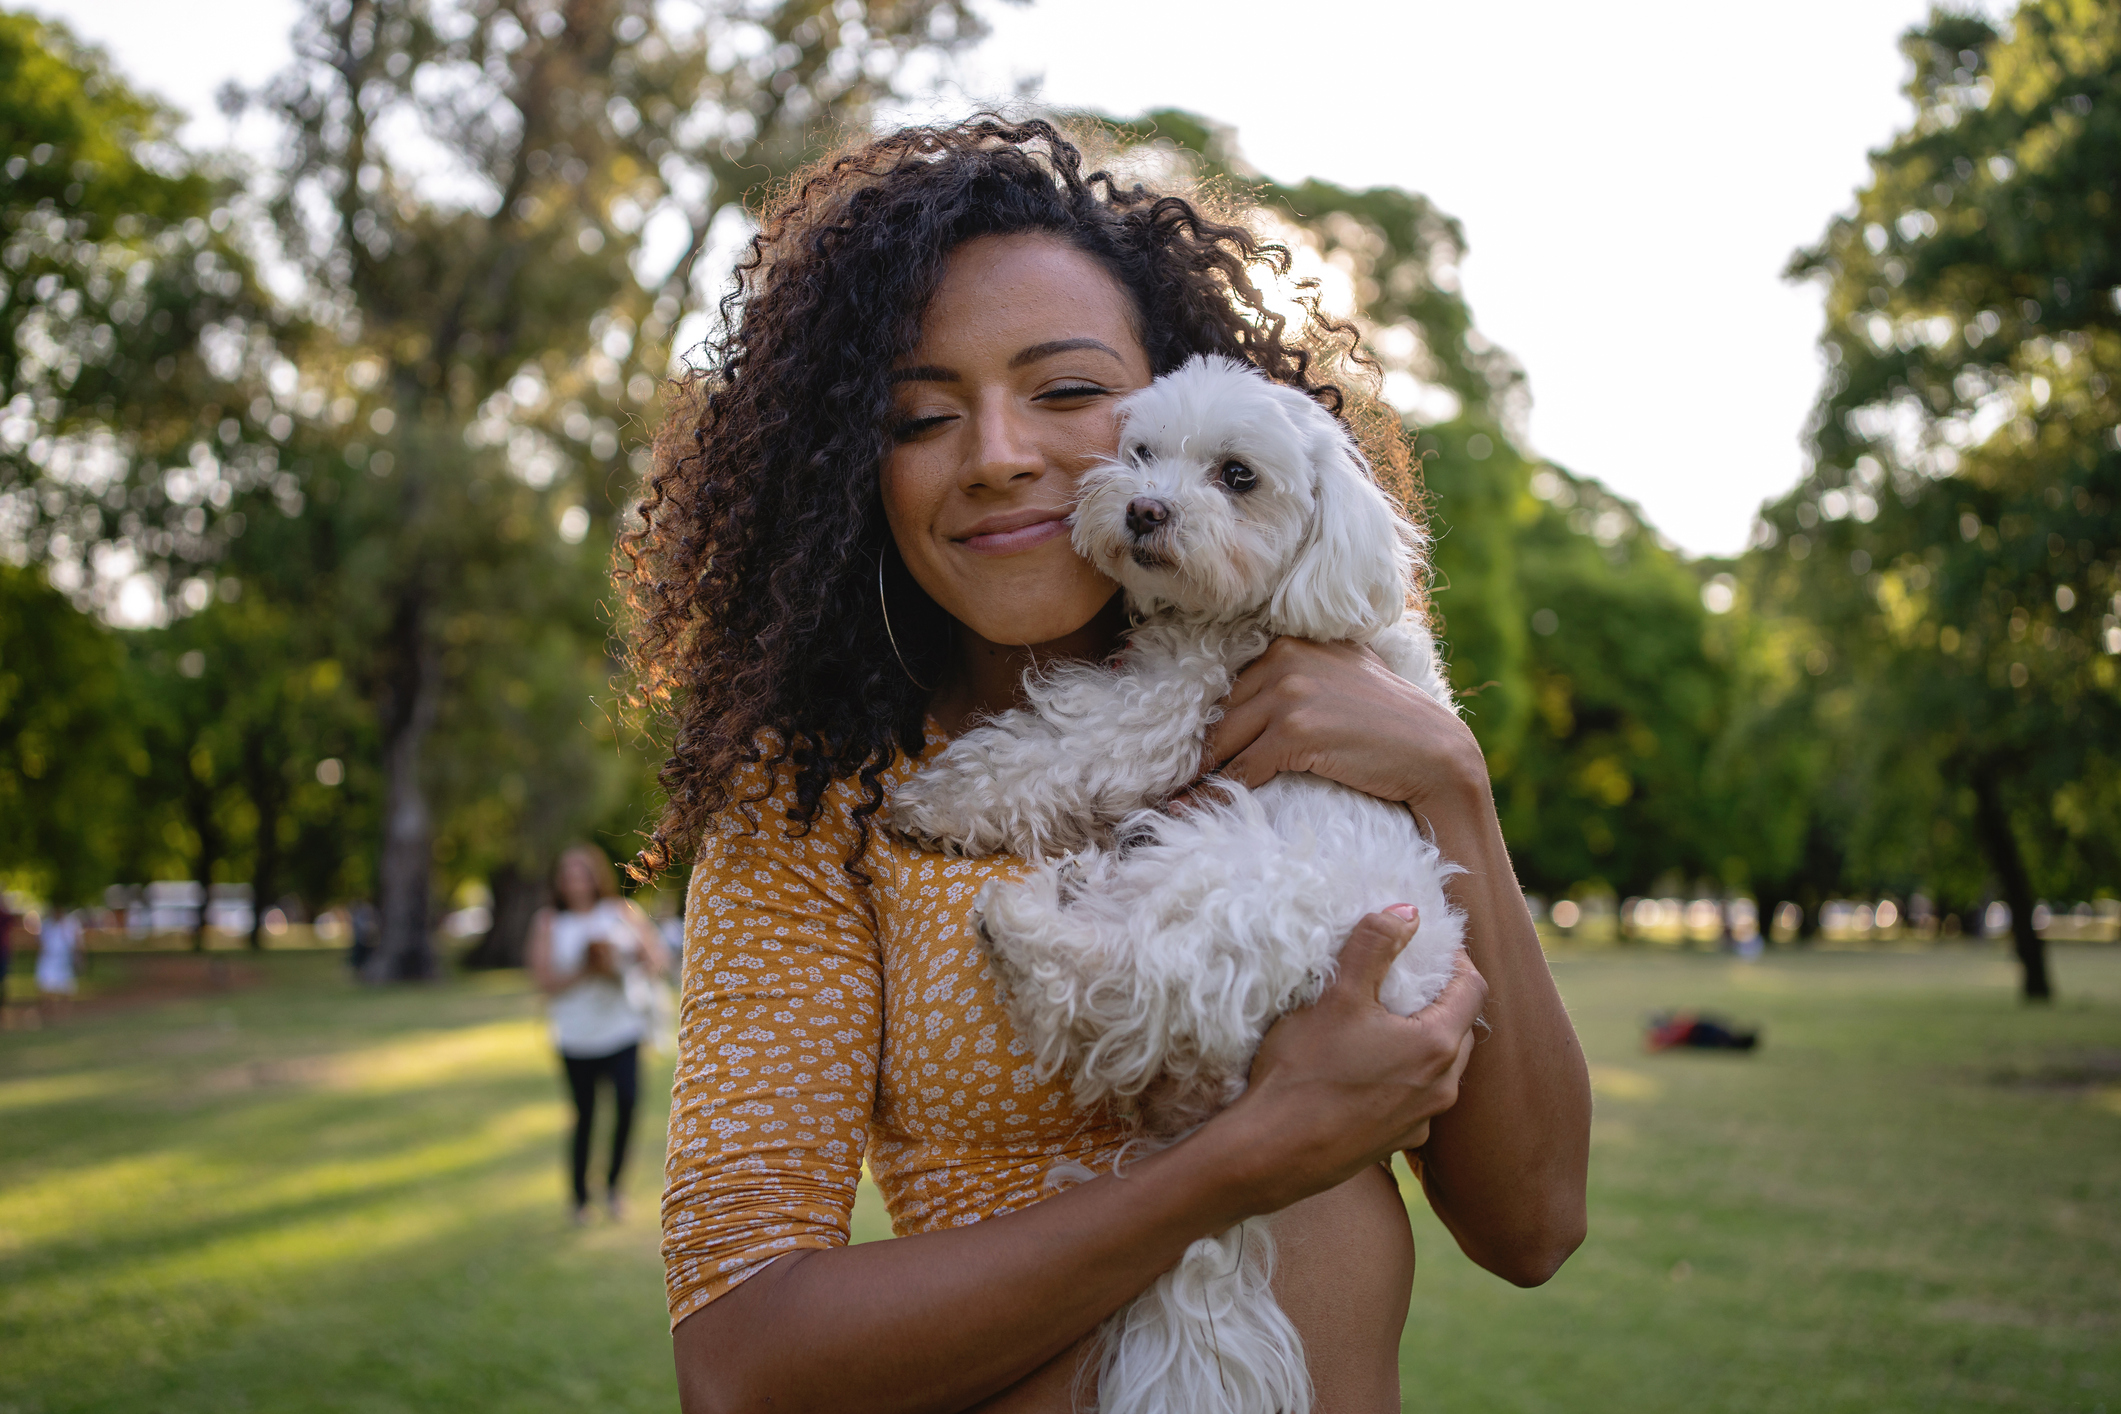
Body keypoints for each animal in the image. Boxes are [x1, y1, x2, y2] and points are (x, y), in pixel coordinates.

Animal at [886, 356, 1467, 1414]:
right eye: (1141, 451)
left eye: (1237, 476)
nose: (1145, 509)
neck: (1265, 610)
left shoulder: (1169, 705)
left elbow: (1054, 745)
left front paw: (932, 800)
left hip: (1222, 869)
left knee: (1094, 981)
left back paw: (1027, 916)